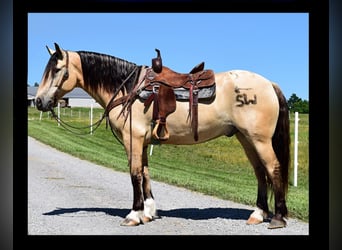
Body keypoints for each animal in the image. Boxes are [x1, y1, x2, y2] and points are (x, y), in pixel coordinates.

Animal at [34, 42, 290, 229]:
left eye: (56, 70)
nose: (38, 101)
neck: (128, 89)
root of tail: (269, 83)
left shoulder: (133, 139)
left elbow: (135, 174)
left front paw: (133, 215)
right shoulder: (143, 141)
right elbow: (146, 174)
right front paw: (148, 212)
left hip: (259, 139)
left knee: (273, 168)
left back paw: (278, 218)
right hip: (245, 138)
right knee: (260, 173)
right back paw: (258, 214)